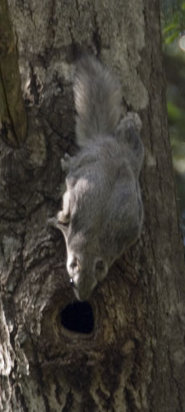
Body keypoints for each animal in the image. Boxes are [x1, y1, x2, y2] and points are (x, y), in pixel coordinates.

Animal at [54, 54, 144, 300]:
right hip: (86, 161)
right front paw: (60, 218)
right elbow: (67, 211)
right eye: (72, 280)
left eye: (95, 283)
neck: (91, 243)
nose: (82, 298)